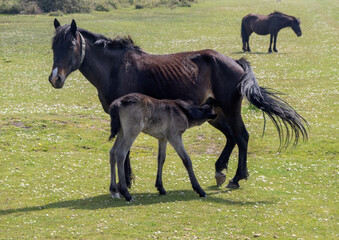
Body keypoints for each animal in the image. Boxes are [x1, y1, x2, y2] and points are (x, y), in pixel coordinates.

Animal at [49, 19, 310, 194]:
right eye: (53, 48)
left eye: (71, 47)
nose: (55, 79)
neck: (115, 69)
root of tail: (234, 62)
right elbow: (123, 150)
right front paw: (126, 182)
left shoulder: (128, 117)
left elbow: (126, 151)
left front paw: (127, 182)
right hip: (215, 113)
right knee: (231, 137)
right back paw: (220, 171)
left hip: (230, 109)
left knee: (241, 137)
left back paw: (236, 178)